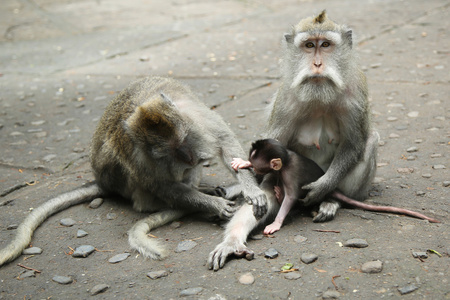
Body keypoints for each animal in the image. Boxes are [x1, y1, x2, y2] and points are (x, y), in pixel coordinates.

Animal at [0, 76, 268, 266]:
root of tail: (102, 183)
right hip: (117, 178)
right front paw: (213, 205)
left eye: (184, 141)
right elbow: (162, 185)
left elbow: (224, 142)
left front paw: (252, 191)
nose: (190, 158)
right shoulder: (140, 154)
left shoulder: (196, 116)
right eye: (169, 151)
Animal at [209, 10, 382, 270]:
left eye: (326, 45)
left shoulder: (356, 94)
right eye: (309, 46)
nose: (317, 64)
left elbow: (354, 144)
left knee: (370, 141)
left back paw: (331, 201)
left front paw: (323, 186)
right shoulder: (286, 100)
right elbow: (271, 152)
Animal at [234, 138, 442, 234]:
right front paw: (242, 162)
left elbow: (291, 197)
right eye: (253, 163)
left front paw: (276, 223)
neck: (286, 160)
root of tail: (331, 187)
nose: (253, 167)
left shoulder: (290, 174)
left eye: (257, 168)